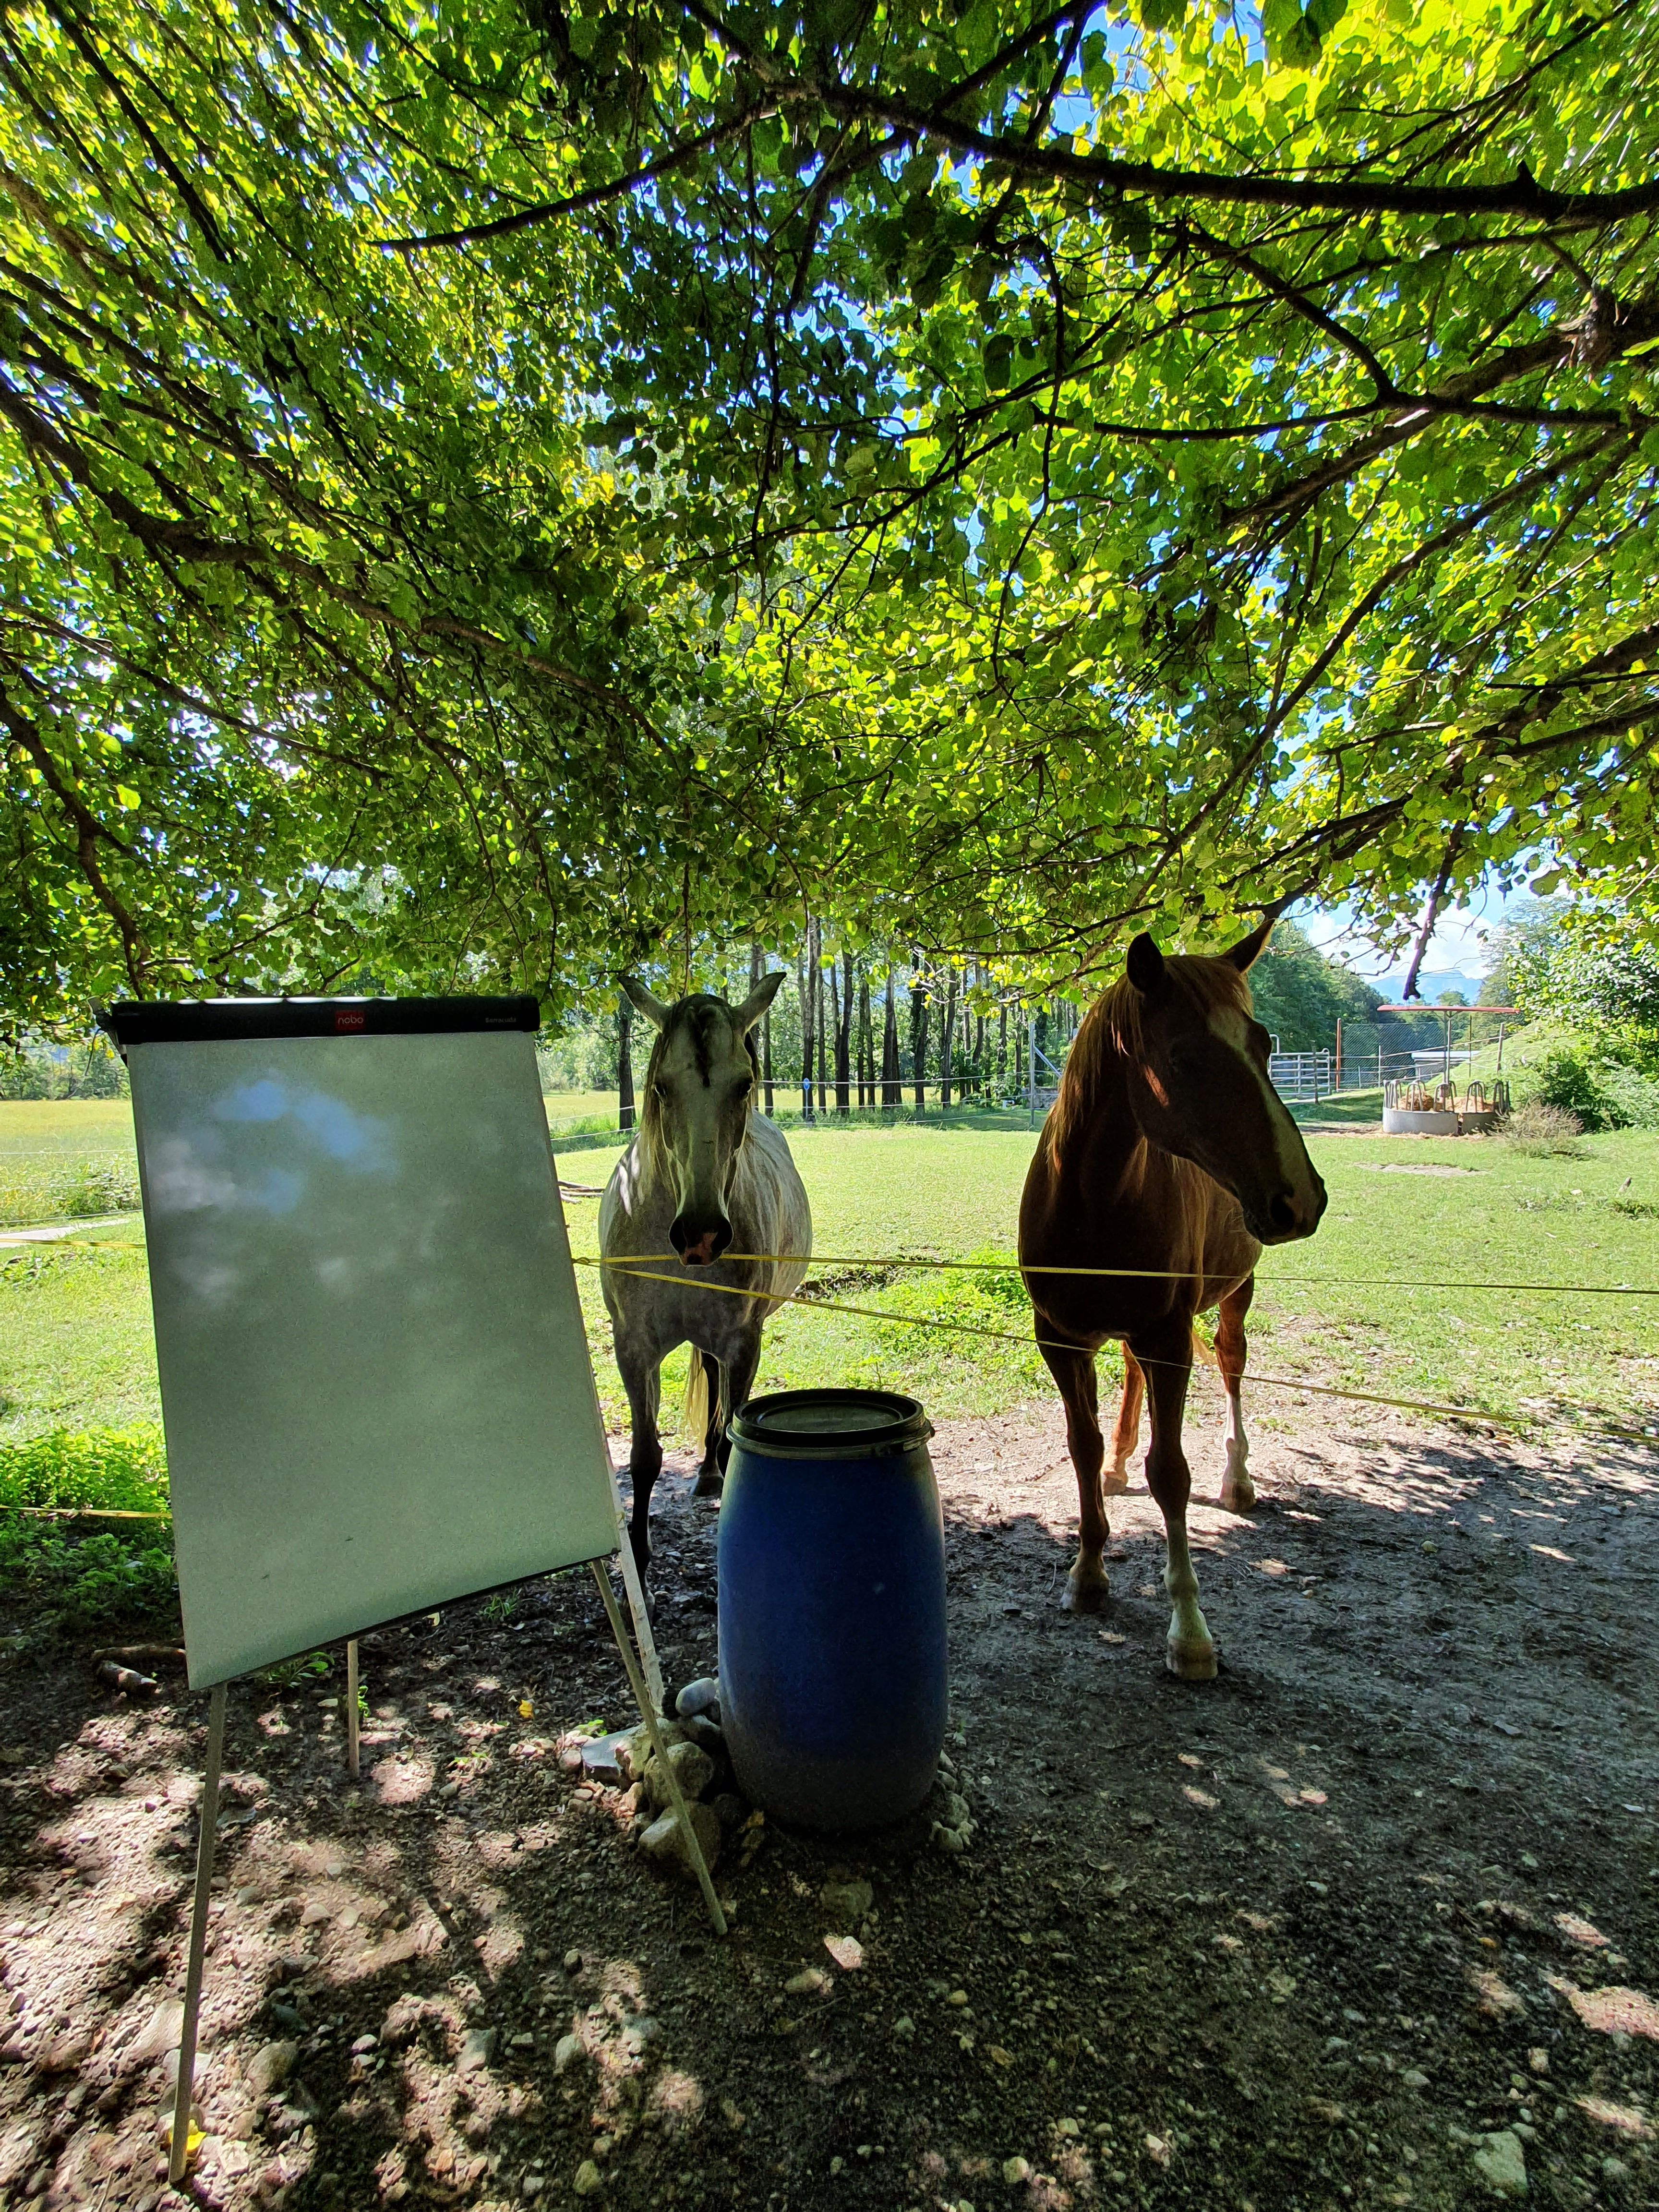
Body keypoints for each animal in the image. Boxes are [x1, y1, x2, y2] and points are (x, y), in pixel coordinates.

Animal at [600, 975, 812, 1575]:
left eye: (744, 1086)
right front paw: (640, 1556)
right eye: (661, 1088)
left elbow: (736, 1437)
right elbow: (644, 1456)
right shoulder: (634, 1348)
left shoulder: (743, 1343)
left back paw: (711, 1474)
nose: (701, 1234)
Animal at [1017, 922, 1327, 1680]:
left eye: (1264, 1044)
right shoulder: (1060, 1340)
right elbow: (1081, 1447)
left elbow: (1172, 1474)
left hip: (1234, 1295)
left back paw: (1237, 1479)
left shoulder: (1168, 1339)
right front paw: (1088, 1572)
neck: (1091, 1203)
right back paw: (1120, 1465)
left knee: (1232, 1365)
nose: (1301, 1198)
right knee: (1132, 1385)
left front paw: (1189, 1630)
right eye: (1183, 1058)